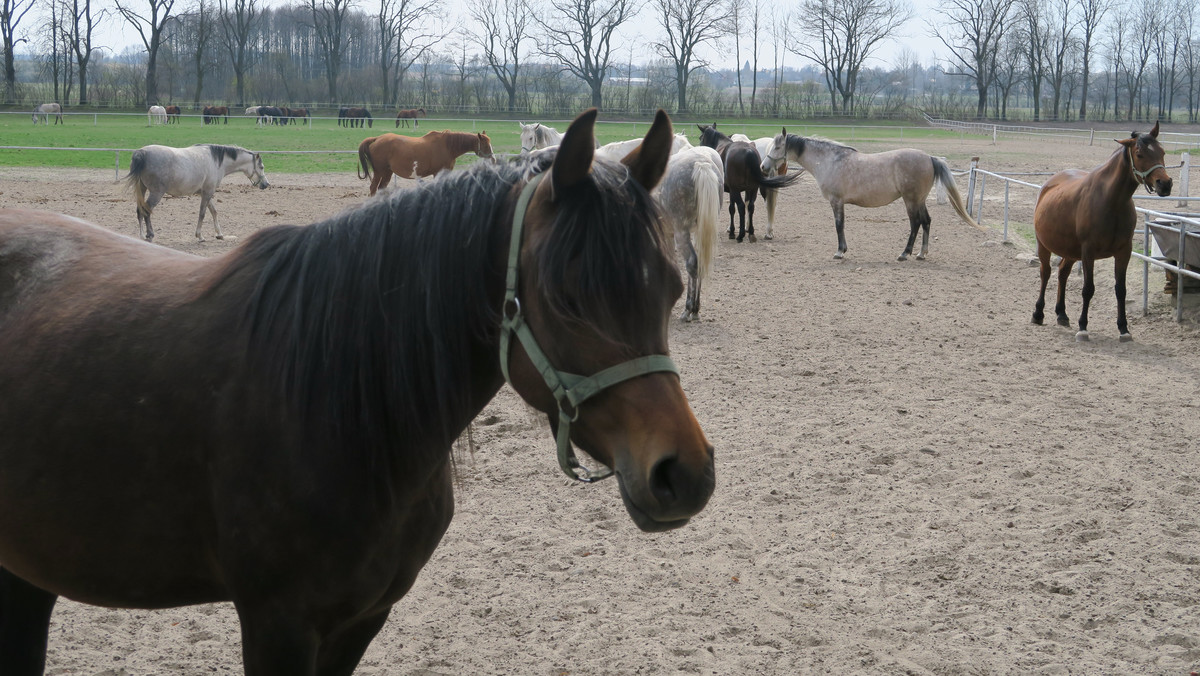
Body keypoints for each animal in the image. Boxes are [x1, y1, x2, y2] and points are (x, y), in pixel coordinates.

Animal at [122, 142, 272, 243]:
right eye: (261, 167)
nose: (266, 184)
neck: (216, 162)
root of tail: (141, 153)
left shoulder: (205, 192)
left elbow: (214, 211)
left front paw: (219, 234)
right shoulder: (207, 192)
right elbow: (203, 213)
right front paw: (200, 236)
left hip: (142, 189)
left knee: (140, 210)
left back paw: (142, 235)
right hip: (156, 193)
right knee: (146, 211)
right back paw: (150, 235)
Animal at [352, 128, 494, 194]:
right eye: (486, 145)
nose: (493, 159)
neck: (447, 146)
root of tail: (376, 138)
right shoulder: (438, 173)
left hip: (388, 172)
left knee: (381, 188)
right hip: (379, 172)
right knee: (373, 188)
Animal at [1032, 121, 1171, 341]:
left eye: (1162, 152)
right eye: (1139, 154)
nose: (1165, 184)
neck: (1111, 201)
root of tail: (1049, 184)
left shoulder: (1123, 252)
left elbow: (1121, 290)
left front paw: (1124, 329)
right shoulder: (1088, 252)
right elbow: (1088, 289)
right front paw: (1083, 327)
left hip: (1071, 252)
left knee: (1062, 273)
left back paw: (1062, 314)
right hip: (1044, 245)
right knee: (1045, 273)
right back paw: (1038, 314)